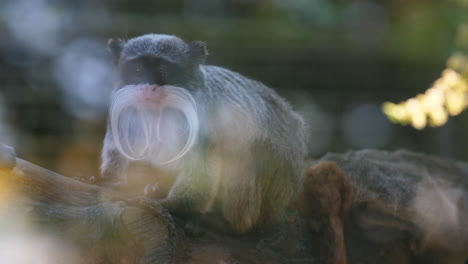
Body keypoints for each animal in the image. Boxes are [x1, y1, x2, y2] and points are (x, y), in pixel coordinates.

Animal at [101, 33, 308, 233]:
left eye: (162, 71)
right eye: (138, 71)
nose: (148, 87)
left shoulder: (201, 115)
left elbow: (200, 169)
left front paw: (167, 205)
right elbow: (118, 151)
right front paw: (113, 182)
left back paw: (228, 224)